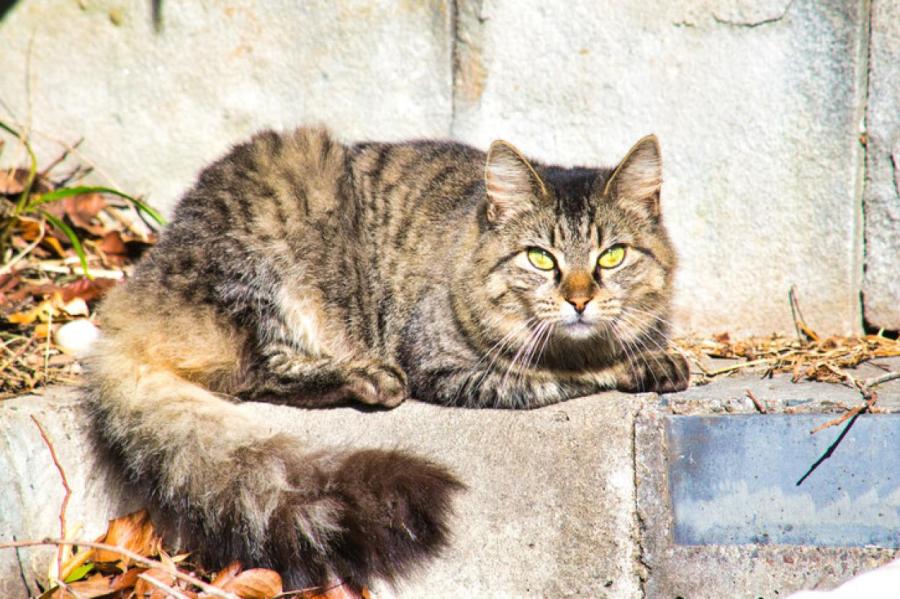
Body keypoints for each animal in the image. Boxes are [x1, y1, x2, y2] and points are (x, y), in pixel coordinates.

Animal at [86, 127, 688, 592]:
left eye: (613, 255)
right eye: (541, 259)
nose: (579, 299)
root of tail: (132, 293)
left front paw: (649, 350)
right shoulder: (452, 367)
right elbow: (565, 372)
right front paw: (642, 363)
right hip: (273, 260)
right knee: (260, 373)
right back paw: (368, 377)